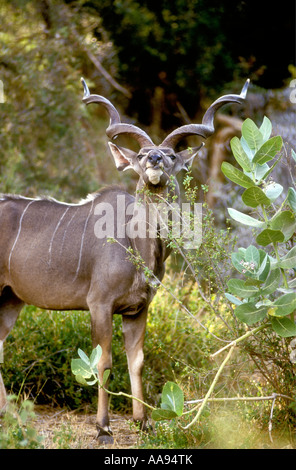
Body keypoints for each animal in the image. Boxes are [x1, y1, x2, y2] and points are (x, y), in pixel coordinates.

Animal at [0, 78, 249, 444]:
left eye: (171, 155)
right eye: (142, 155)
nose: (155, 159)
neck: (138, 246)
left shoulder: (137, 309)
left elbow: (138, 361)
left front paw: (144, 423)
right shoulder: (100, 304)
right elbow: (103, 362)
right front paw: (103, 428)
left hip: (11, 299)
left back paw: (11, 416)